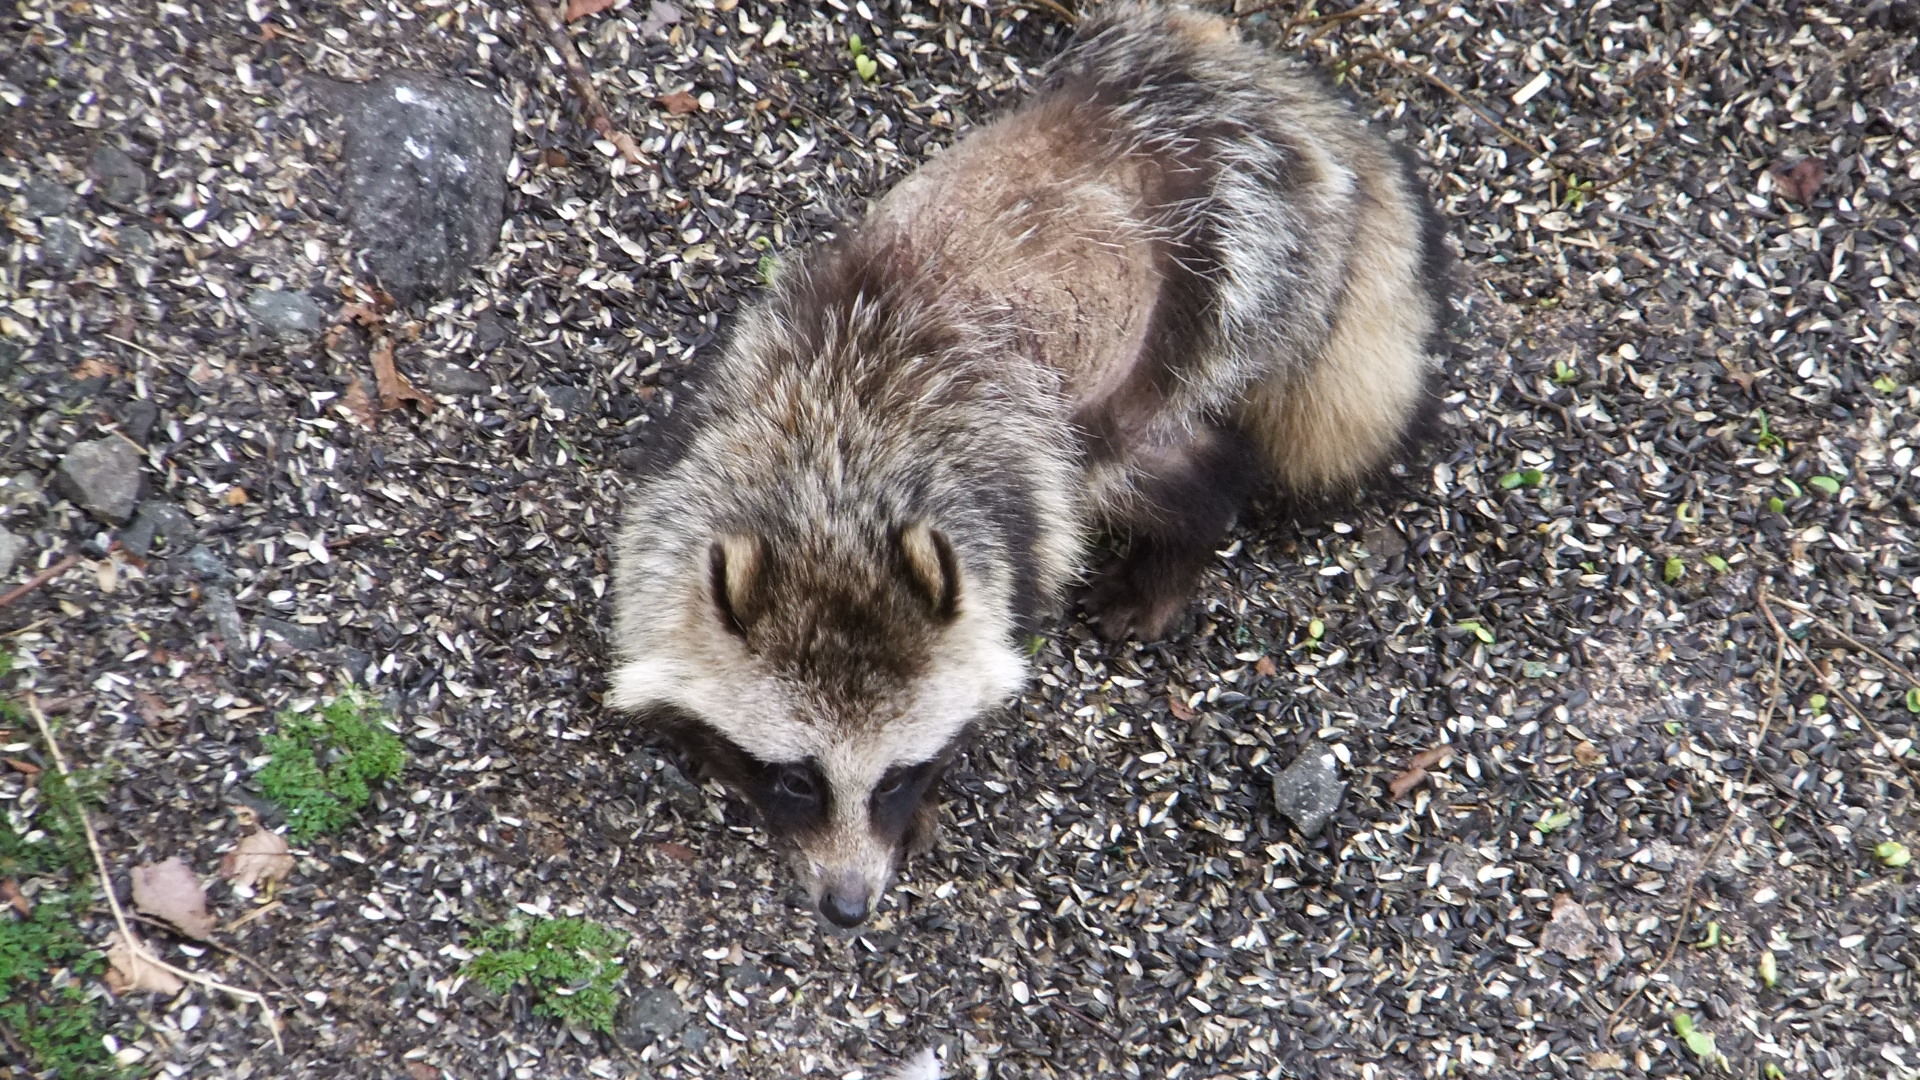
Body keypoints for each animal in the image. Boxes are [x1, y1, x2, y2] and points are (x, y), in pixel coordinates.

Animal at [606, 2, 1443, 926]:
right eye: (797, 779)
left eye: (896, 777)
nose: (849, 906)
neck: (836, 470)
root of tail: (1254, 86)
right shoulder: (714, 414)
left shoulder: (1015, 500)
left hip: (1223, 276)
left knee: (1168, 462)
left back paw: (1177, 552)